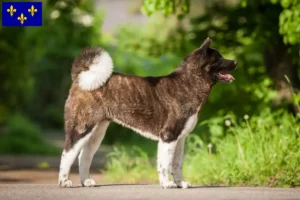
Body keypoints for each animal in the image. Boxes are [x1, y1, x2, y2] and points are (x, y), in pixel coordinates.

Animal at [58, 37, 237, 189]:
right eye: (219, 59)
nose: (235, 61)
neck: (189, 83)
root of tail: (81, 78)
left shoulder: (180, 138)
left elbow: (177, 164)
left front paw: (180, 183)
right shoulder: (168, 136)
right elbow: (165, 164)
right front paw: (167, 184)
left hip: (97, 132)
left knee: (84, 156)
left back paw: (86, 181)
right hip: (81, 127)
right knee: (67, 153)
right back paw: (64, 181)